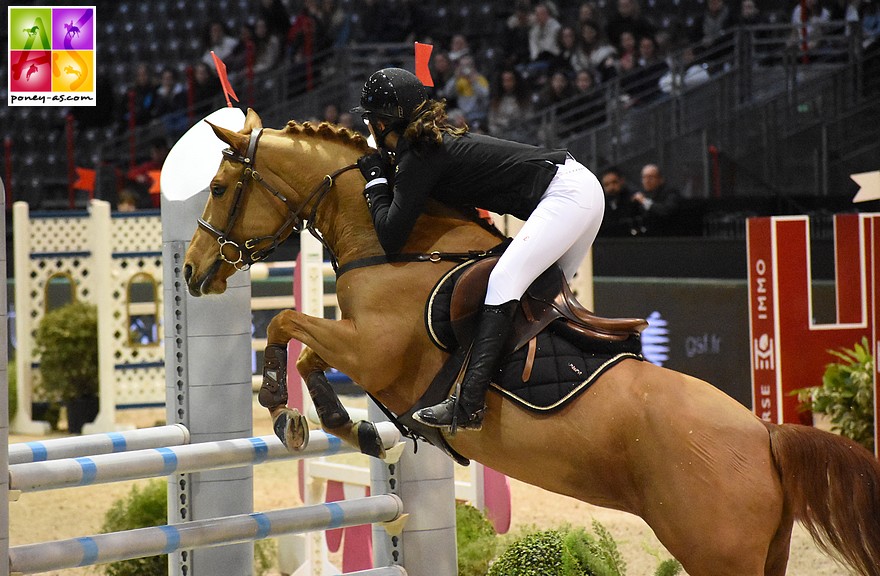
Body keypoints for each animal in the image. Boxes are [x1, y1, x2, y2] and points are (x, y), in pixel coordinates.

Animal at [184, 111, 880, 576]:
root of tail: (766, 435)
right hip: (763, 553)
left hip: (717, 552)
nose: (192, 272)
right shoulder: (360, 351)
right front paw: (342, 423)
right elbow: (308, 348)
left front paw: (289, 410)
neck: (395, 245)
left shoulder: (373, 352)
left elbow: (288, 325)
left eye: (217, 189)